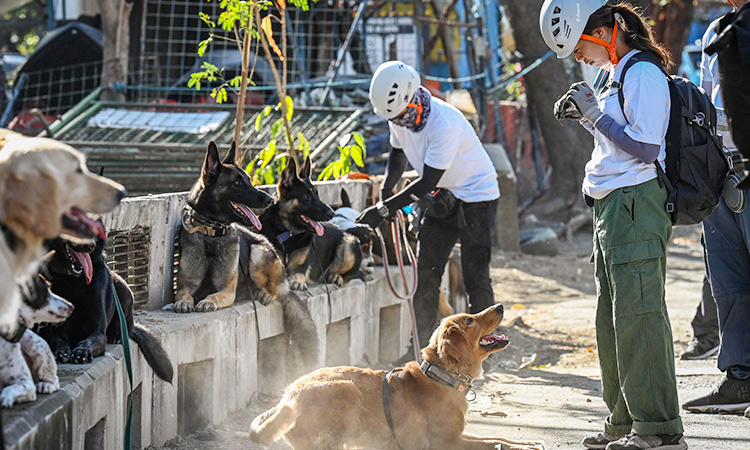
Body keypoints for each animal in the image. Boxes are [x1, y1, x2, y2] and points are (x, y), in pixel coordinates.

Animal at [0, 270, 74, 408]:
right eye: (45, 289)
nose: (72, 306)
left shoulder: (26, 383)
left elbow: (9, 389)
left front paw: (4, 399)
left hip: (35, 346)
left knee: (54, 379)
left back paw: (46, 385)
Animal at [251, 304, 548, 448]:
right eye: (469, 320)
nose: (500, 306)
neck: (442, 375)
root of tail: (285, 398)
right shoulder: (445, 442)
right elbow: (493, 443)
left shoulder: (458, 433)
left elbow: (501, 439)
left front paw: (529, 443)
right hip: (346, 389)